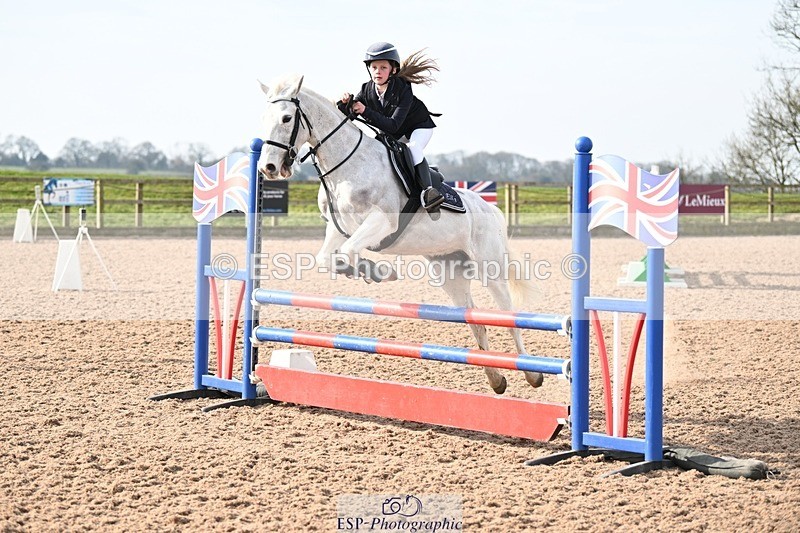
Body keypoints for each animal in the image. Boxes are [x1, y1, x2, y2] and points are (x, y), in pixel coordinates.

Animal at [257, 73, 543, 394]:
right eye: (264, 118)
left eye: (286, 117)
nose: (268, 167)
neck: (345, 165)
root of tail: (491, 209)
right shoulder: (338, 228)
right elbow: (329, 258)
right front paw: (369, 271)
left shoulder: (382, 222)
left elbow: (348, 252)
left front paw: (381, 272)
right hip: (450, 273)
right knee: (476, 321)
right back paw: (496, 379)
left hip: (490, 268)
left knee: (508, 316)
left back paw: (532, 374)